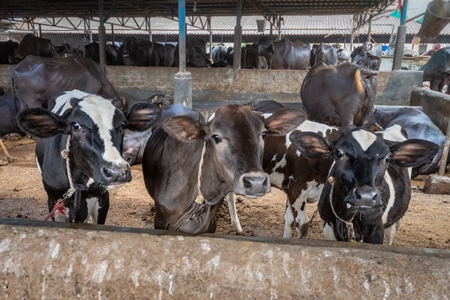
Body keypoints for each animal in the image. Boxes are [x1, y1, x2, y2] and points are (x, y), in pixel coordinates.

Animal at [16, 90, 161, 224]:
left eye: (122, 125)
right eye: (76, 125)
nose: (117, 172)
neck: (79, 184)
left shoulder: (102, 198)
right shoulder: (54, 202)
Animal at [288, 125, 440, 244]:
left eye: (388, 158)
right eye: (338, 152)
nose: (366, 196)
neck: (349, 218)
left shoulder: (376, 232)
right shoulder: (329, 227)